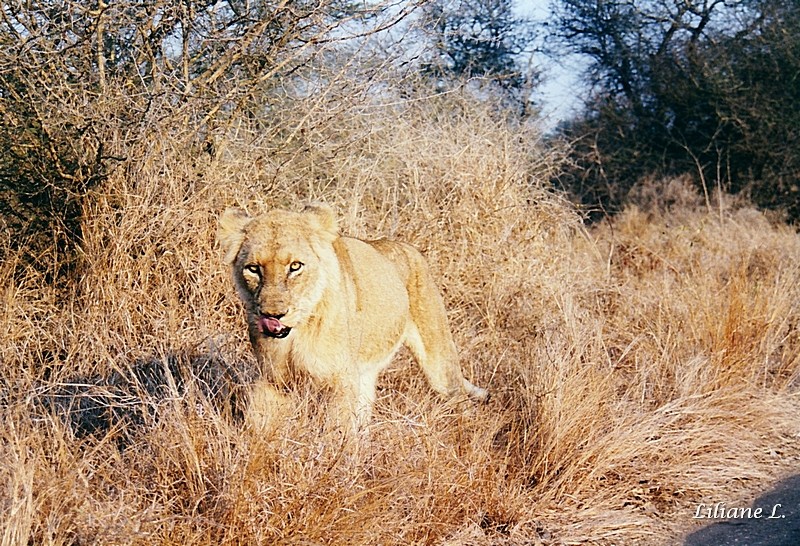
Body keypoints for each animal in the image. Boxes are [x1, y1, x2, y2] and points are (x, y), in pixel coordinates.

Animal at [216, 202, 488, 432]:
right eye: (253, 269)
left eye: (295, 266)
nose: (272, 315)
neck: (297, 334)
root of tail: (408, 248)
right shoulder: (274, 380)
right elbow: (258, 426)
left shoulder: (341, 380)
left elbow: (336, 432)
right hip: (365, 374)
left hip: (439, 363)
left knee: (459, 398)